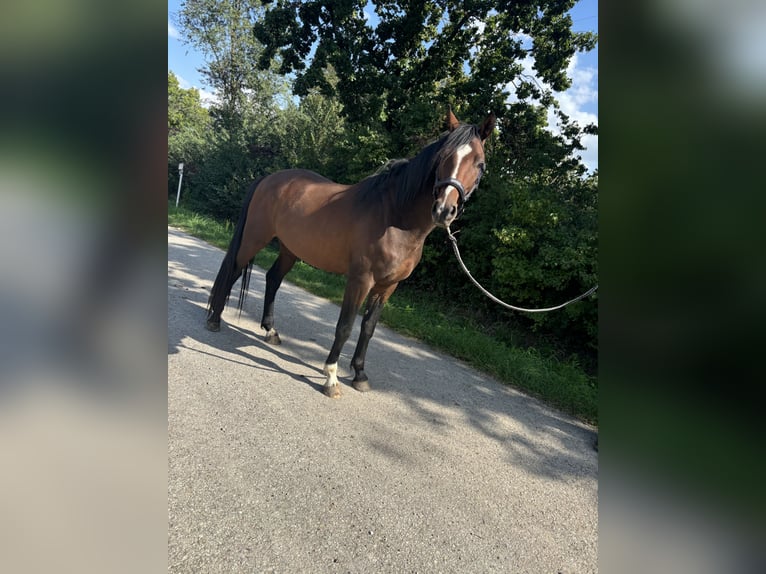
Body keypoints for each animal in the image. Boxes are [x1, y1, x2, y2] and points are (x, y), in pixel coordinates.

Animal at [207, 108, 496, 398]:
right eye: (443, 157)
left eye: (480, 164)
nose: (443, 210)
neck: (394, 217)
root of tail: (269, 178)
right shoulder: (360, 280)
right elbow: (345, 326)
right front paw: (331, 378)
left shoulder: (387, 286)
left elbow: (368, 328)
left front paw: (359, 375)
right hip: (255, 238)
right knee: (234, 270)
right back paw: (215, 320)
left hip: (290, 249)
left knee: (273, 279)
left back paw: (270, 331)